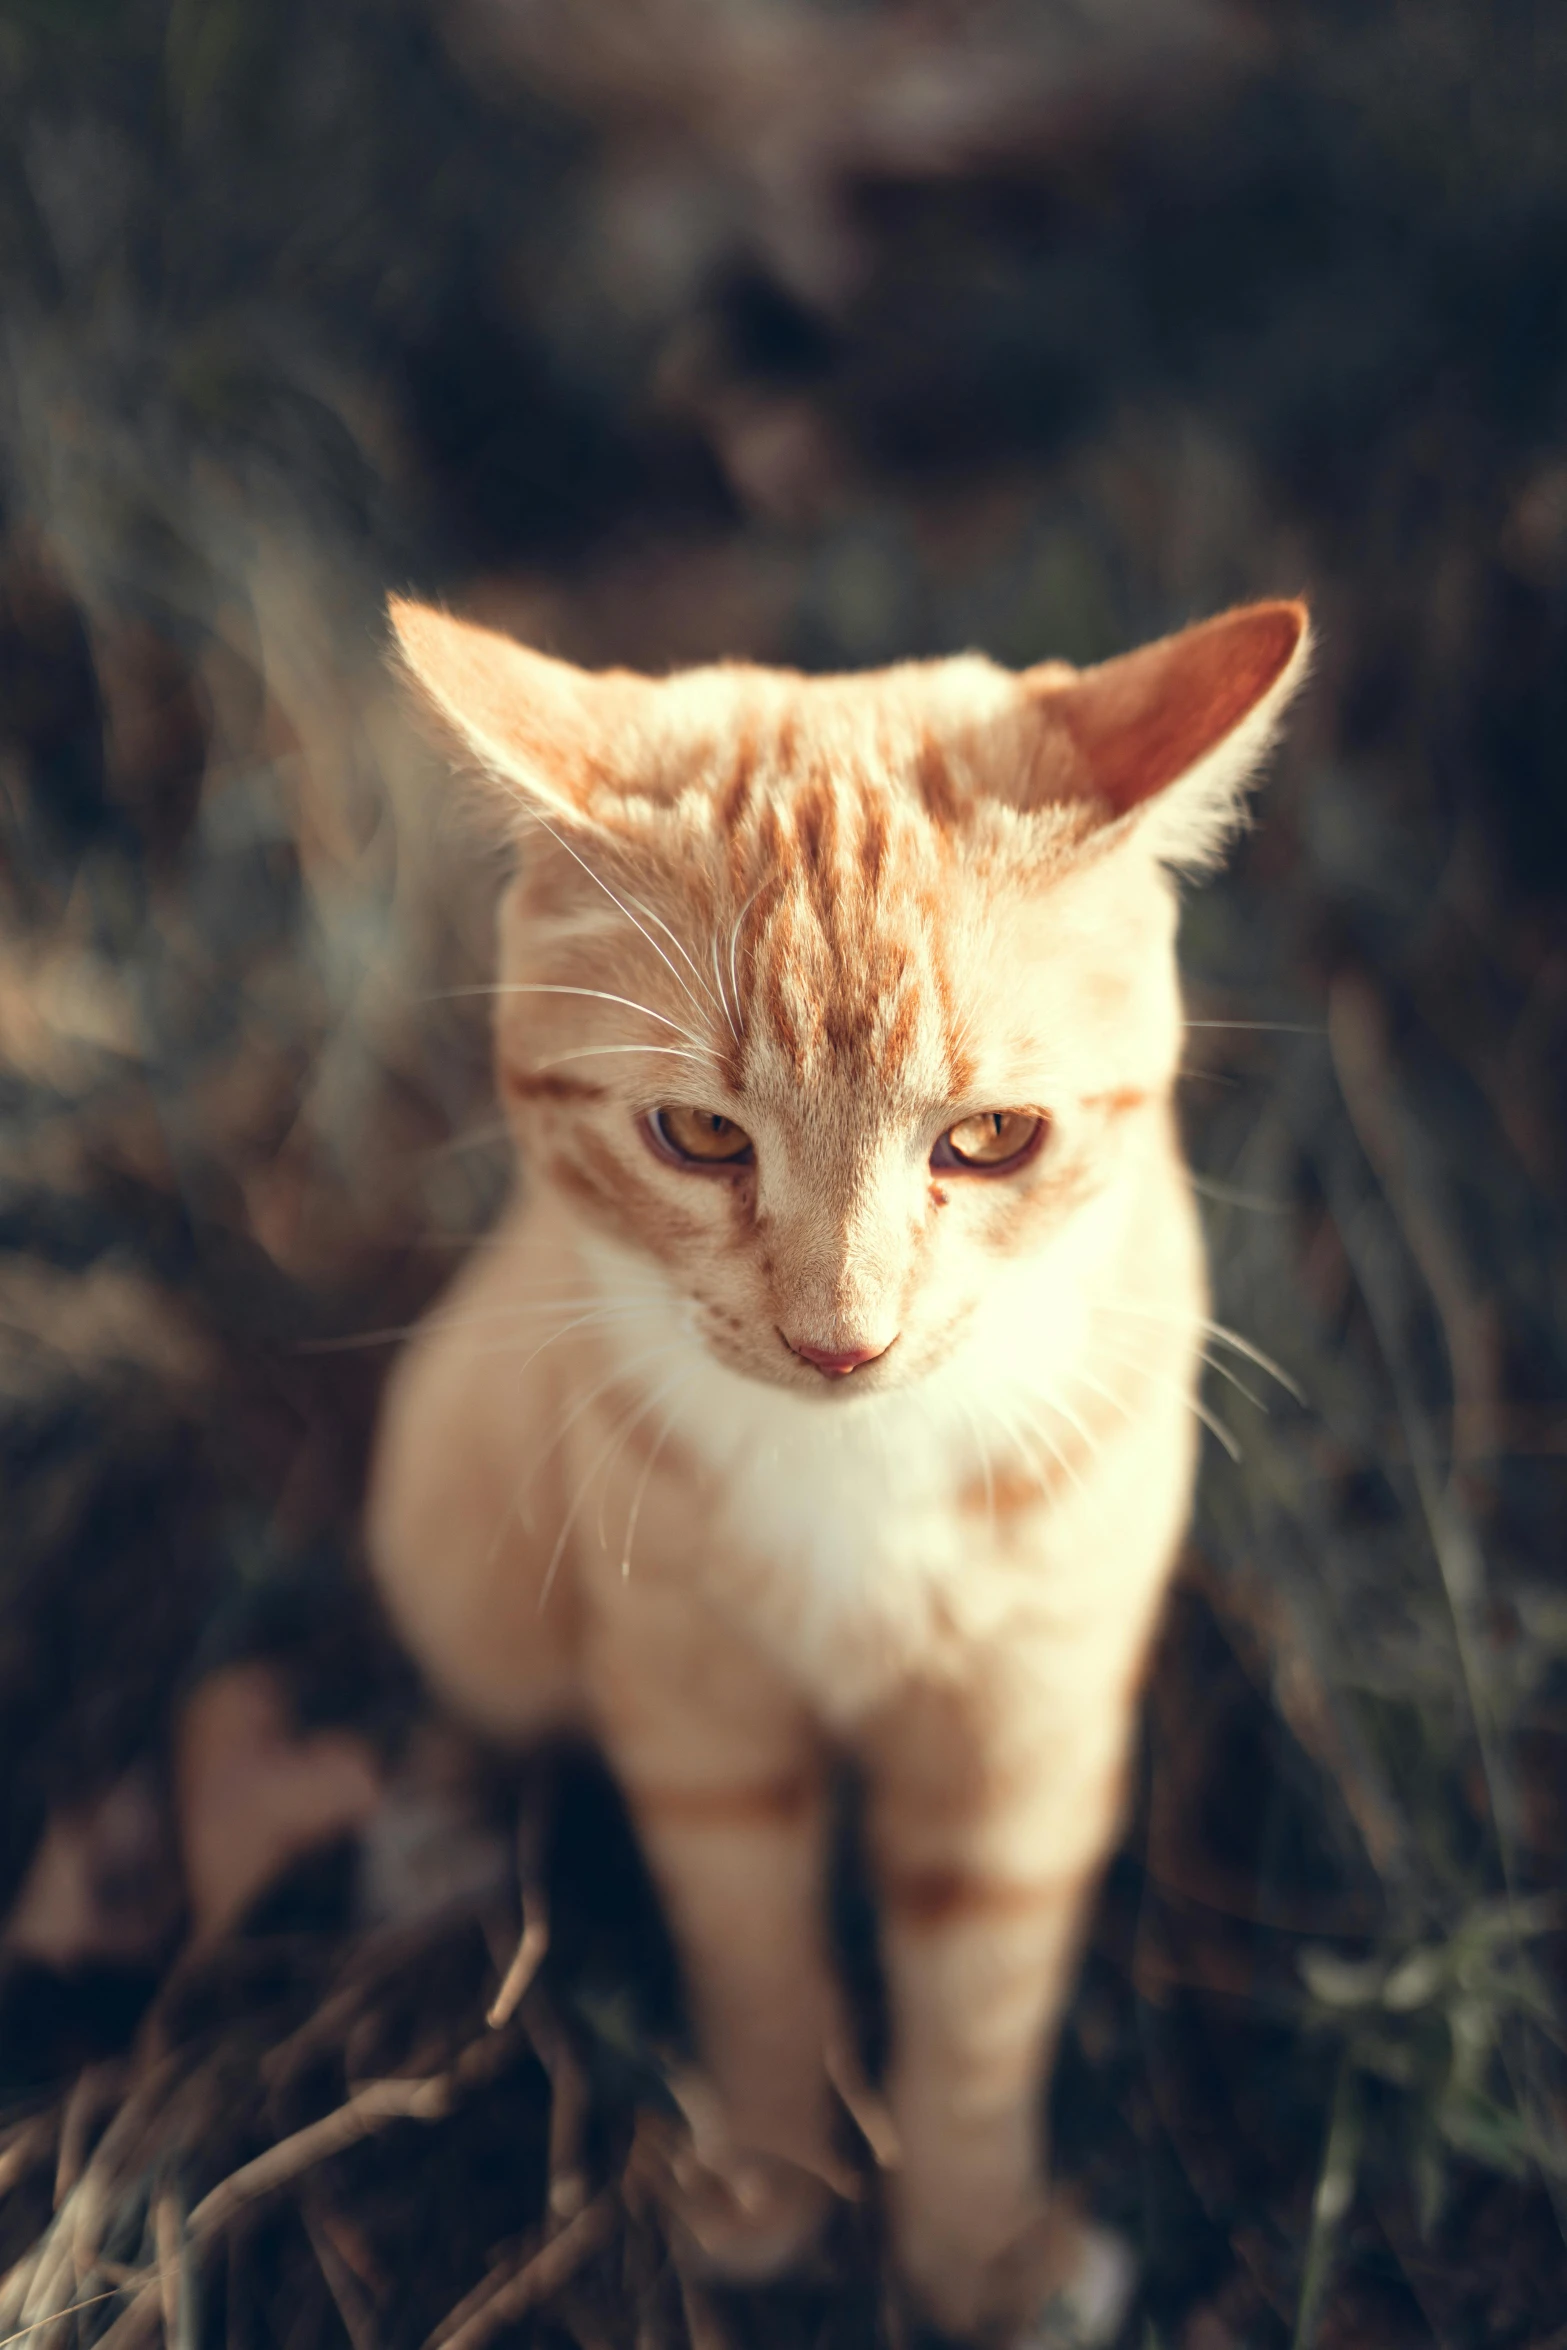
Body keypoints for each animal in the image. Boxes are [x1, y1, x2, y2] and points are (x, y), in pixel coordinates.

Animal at [368, 592, 1315, 2331]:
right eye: (697, 1135)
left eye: (991, 1138)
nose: (838, 1341)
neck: (857, 1468)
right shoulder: (699, 1713)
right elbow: (752, 1956)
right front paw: (764, 2194)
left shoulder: (1024, 1731)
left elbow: (979, 2012)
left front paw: (975, 2256)